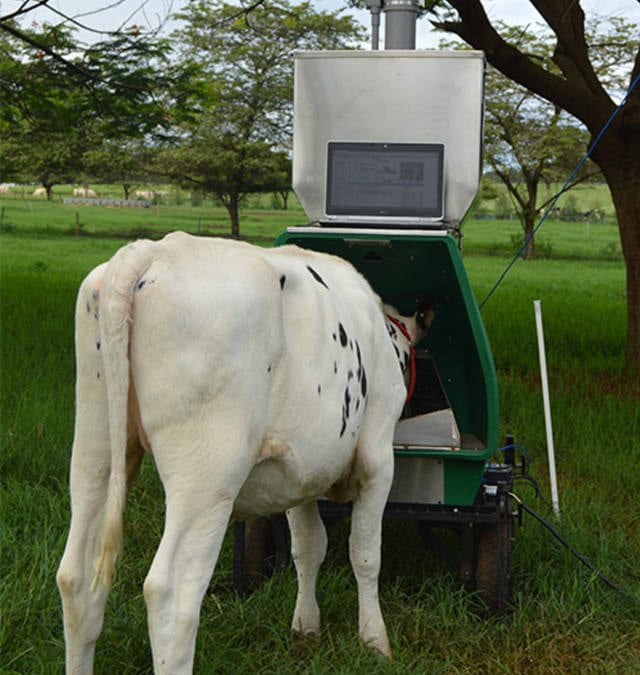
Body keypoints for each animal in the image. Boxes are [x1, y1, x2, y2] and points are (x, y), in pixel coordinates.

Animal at [56, 231, 436, 672]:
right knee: (171, 595)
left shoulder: (300, 472)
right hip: (207, 475)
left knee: (76, 577)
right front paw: (375, 641)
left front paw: (305, 627)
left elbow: (309, 546)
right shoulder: (377, 459)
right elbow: (366, 553)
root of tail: (156, 249)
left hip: (95, 442)